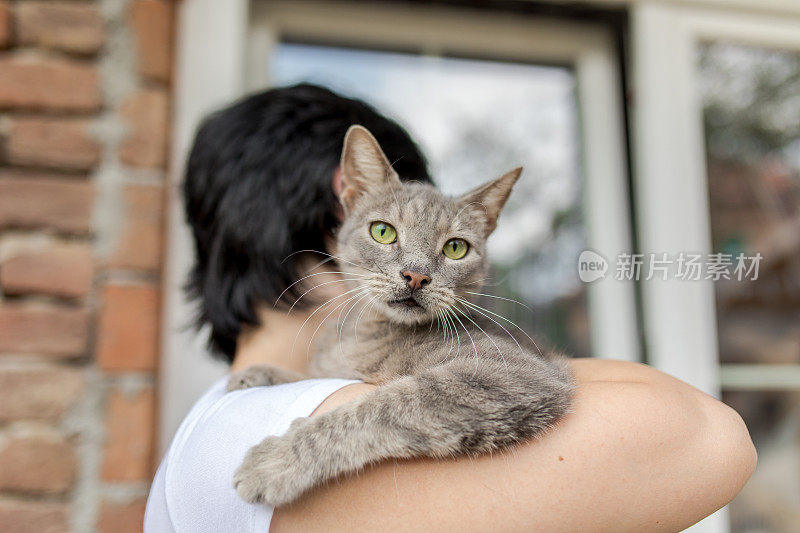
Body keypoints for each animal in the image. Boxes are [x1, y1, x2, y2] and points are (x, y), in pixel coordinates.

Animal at [228, 124, 572, 508]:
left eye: (456, 248)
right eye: (383, 231)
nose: (416, 275)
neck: (366, 333)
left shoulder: (513, 374)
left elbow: (383, 405)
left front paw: (279, 459)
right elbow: (317, 373)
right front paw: (260, 373)